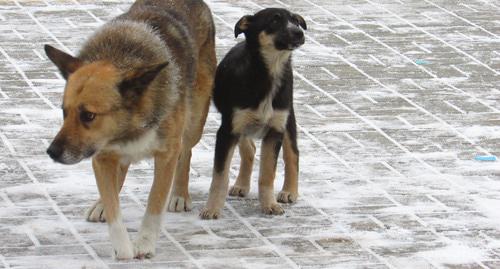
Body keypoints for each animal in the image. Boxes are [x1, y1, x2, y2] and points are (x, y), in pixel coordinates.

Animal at [44, 0, 214, 260]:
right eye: (64, 111)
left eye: (88, 115)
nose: (52, 152)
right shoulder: (102, 154)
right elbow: (113, 205)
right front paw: (122, 247)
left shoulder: (166, 154)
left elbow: (155, 203)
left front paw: (144, 243)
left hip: (194, 120)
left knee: (186, 152)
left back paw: (179, 194)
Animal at [200, 8, 304, 218]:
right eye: (274, 21)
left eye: (295, 21)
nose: (299, 33)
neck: (268, 74)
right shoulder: (228, 130)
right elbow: (220, 176)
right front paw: (212, 209)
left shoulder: (275, 130)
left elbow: (267, 174)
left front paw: (270, 204)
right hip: (240, 124)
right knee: (249, 149)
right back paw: (241, 185)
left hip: (288, 117)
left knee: (293, 153)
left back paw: (289, 191)